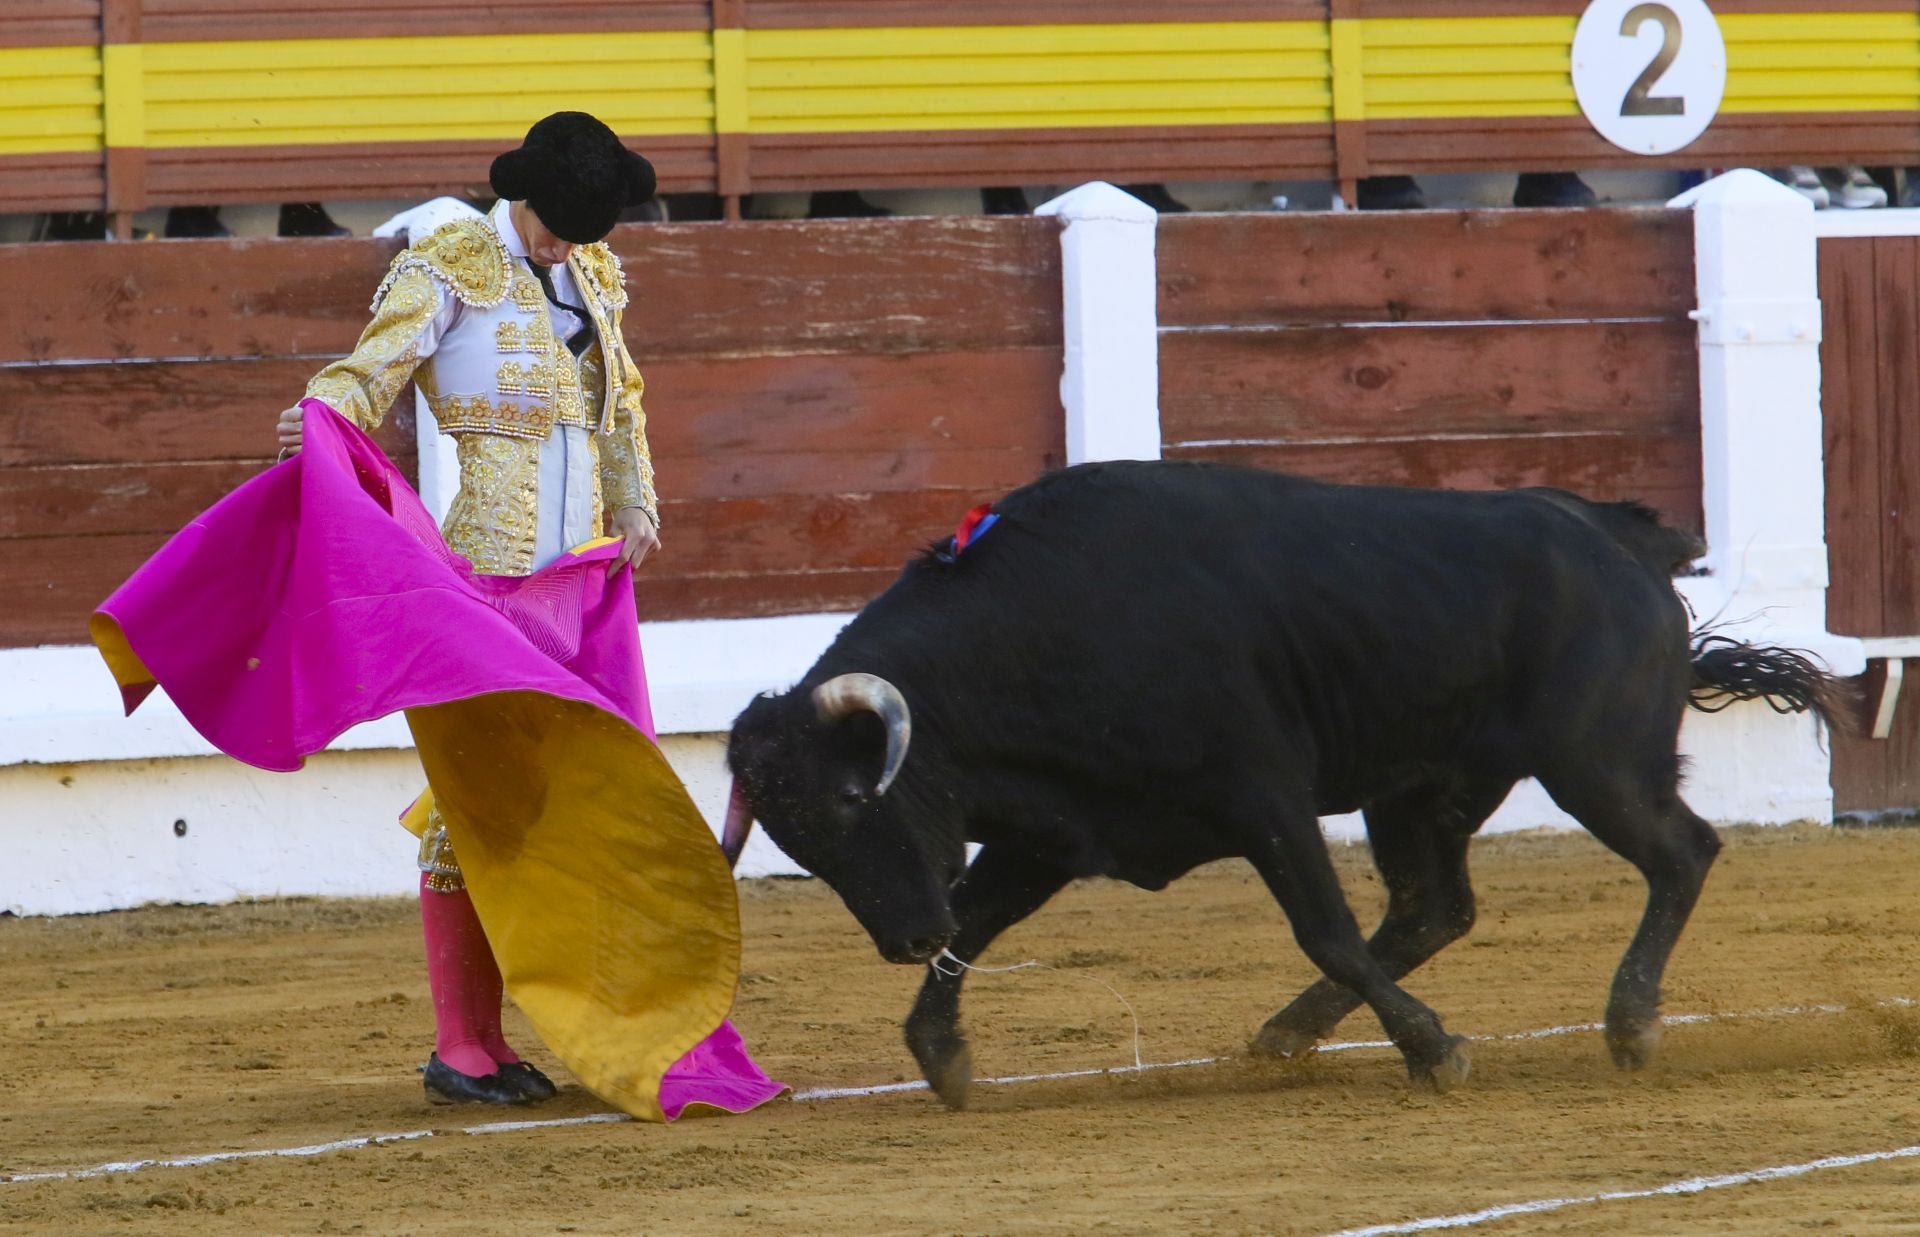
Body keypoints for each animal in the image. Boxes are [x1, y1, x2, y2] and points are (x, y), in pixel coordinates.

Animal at [721, 459, 1843, 1106]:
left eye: (851, 799)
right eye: (800, 843)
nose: (907, 936)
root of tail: (1620, 533)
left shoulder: (1262, 796)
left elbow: (1325, 928)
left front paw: (1435, 1051)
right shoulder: (1058, 825)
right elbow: (986, 918)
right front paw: (939, 1052)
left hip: (1594, 760)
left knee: (1681, 852)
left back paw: (1632, 1023)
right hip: (1425, 787)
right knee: (1435, 904)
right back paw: (1288, 1032)